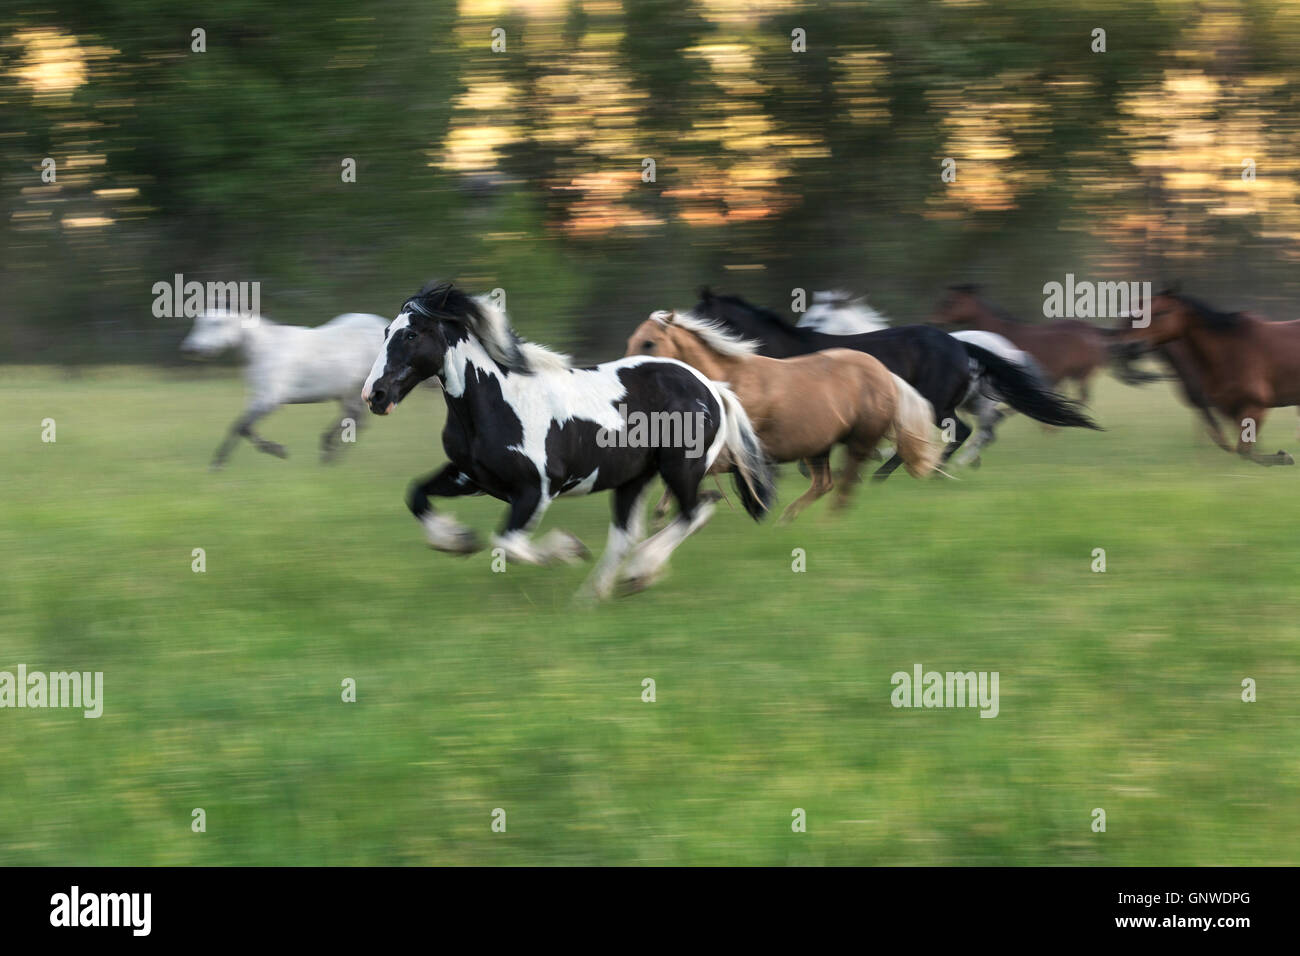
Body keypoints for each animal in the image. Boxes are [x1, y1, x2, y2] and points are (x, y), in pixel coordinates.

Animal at [181, 308, 390, 469]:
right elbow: (242, 427)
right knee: (355, 418)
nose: (190, 349)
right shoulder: (257, 398)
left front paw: (277, 450)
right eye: (198, 323)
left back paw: (330, 454)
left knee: (357, 419)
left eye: (217, 324)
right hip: (348, 393)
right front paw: (219, 462)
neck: (264, 350)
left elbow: (241, 426)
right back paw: (329, 453)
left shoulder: (270, 400)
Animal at [361, 282, 777, 600]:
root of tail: (712, 387)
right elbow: (416, 494)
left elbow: (508, 544)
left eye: (411, 334)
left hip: (680, 468)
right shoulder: (471, 477)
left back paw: (639, 571)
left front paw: (567, 549)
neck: (495, 400)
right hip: (633, 478)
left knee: (695, 511)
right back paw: (595, 596)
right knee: (629, 534)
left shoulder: (537, 489)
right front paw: (457, 540)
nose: (374, 395)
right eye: (385, 333)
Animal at [626, 310, 940, 523]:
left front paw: (662, 512)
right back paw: (788, 519)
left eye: (649, 343)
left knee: (845, 483)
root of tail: (885, 374)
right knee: (824, 484)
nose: (629, 373)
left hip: (858, 442)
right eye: (632, 340)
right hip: (817, 447)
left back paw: (828, 522)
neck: (731, 381)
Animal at [930, 284, 1110, 403]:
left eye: (950, 301)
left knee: (1083, 397)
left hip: (1082, 372)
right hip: (1074, 373)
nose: (933, 319)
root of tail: (1091, 330)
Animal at [1110, 291, 1300, 465]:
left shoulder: (1255, 405)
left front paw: (1285, 457)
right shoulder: (1224, 407)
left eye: (1160, 312)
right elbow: (1227, 442)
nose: (1126, 346)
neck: (1230, 351)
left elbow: (1242, 449)